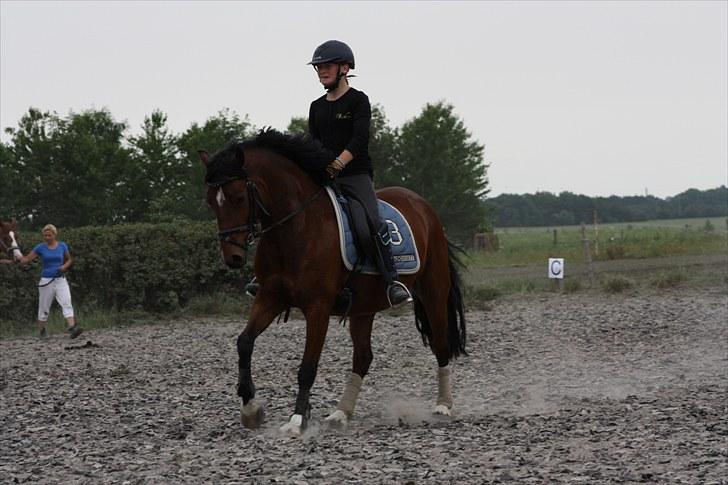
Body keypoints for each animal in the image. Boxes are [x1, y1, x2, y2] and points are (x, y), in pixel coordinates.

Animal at [202, 130, 470, 434]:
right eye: (211, 201)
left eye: (238, 197)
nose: (233, 257)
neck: (295, 228)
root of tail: (422, 205)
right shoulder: (269, 297)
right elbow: (244, 343)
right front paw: (251, 408)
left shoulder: (317, 307)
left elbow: (307, 367)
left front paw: (297, 420)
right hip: (364, 307)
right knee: (363, 357)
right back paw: (341, 414)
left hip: (433, 290)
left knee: (440, 344)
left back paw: (443, 406)